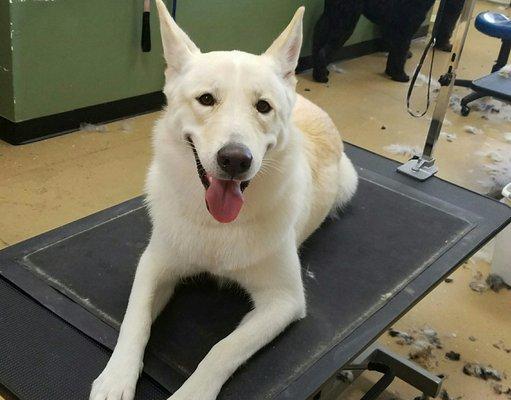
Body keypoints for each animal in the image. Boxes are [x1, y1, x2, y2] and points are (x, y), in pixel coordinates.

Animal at [90, 1, 358, 398]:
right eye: (206, 99)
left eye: (263, 107)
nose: (235, 159)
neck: (216, 227)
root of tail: (307, 100)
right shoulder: (154, 263)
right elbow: (134, 320)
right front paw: (116, 377)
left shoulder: (284, 300)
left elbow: (223, 349)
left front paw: (191, 393)